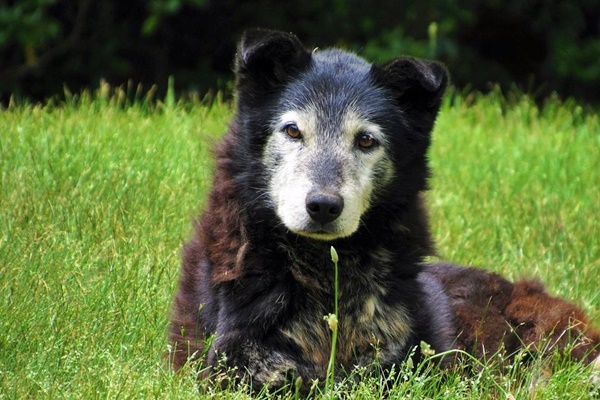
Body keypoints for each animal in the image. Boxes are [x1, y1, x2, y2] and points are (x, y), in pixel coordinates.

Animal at [169, 29, 600, 392]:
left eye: (365, 140)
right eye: (292, 131)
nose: (323, 206)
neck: (325, 272)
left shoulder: (398, 369)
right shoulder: (234, 364)